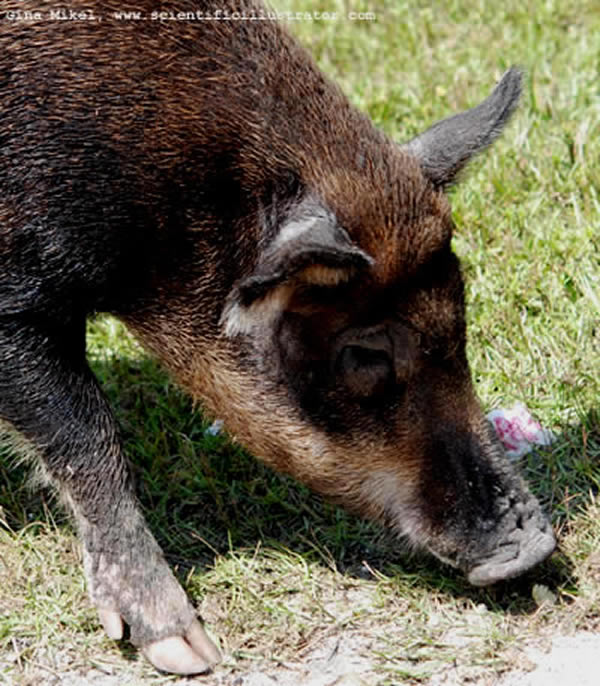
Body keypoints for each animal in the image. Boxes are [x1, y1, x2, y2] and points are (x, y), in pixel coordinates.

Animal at [0, 0, 556, 675]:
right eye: (365, 353)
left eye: (462, 314)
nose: (538, 546)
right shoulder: (16, 302)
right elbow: (88, 434)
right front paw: (190, 654)